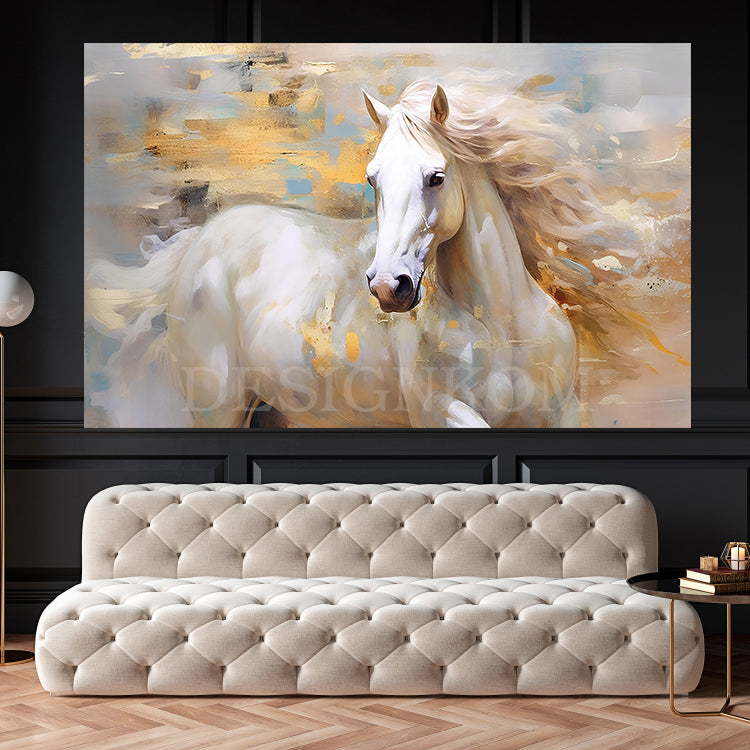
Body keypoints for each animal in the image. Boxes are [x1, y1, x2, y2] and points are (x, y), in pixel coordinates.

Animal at [88, 78, 633, 428]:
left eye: (436, 176)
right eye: (373, 178)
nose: (389, 287)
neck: (501, 330)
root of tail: (202, 241)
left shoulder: (562, 413)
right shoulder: (442, 415)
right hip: (216, 408)